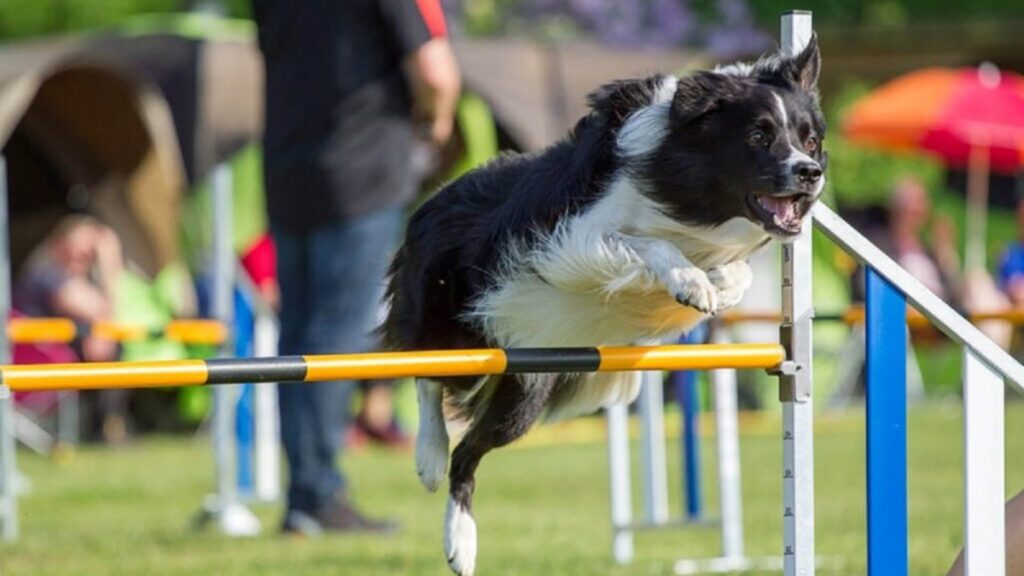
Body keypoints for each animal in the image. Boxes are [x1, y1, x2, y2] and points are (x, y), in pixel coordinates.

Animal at [382, 36, 823, 573]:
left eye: (809, 141)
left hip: (525, 386)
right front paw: (689, 281)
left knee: (467, 452)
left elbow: (738, 271)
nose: (810, 174)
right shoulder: (576, 239)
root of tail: (437, 195)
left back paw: (461, 543)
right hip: (454, 320)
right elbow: (647, 244)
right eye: (758, 136)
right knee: (426, 374)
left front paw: (717, 283)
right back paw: (430, 463)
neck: (685, 191)